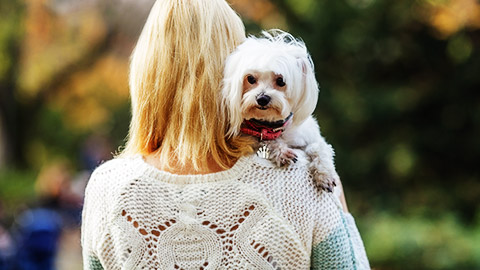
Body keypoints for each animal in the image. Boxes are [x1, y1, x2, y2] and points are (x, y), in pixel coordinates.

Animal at [221, 29, 338, 192]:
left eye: (281, 81)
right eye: (250, 79)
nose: (262, 98)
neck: (273, 127)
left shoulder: (311, 136)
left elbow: (319, 148)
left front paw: (324, 174)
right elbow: (269, 141)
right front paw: (281, 151)